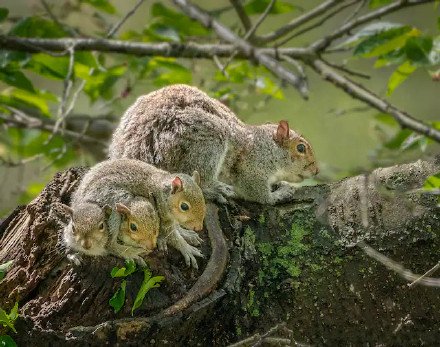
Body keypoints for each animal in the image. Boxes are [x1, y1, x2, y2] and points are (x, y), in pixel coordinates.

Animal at [66, 160, 206, 270]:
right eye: (184, 206)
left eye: (204, 200)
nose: (199, 227)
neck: (162, 191)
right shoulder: (161, 213)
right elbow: (173, 237)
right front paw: (187, 249)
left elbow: (176, 229)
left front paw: (187, 234)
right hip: (114, 207)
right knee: (109, 245)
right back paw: (130, 252)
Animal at [108, 84, 318, 205]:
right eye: (300, 148)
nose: (315, 171)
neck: (266, 145)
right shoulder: (252, 166)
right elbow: (257, 194)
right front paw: (279, 194)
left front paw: (280, 184)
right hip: (206, 141)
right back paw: (216, 190)